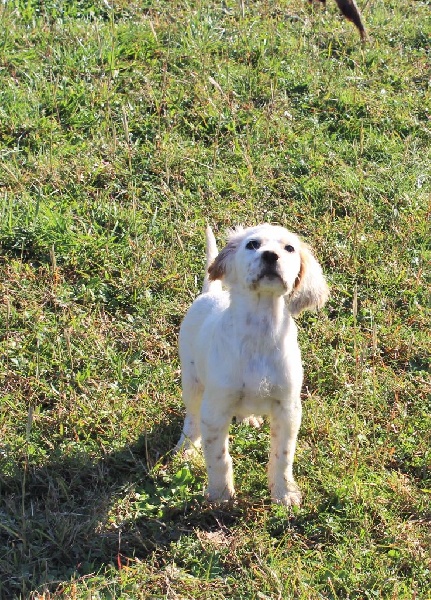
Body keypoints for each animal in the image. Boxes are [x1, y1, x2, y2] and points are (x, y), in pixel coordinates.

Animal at [176, 224, 329, 506]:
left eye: (289, 248)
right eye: (252, 244)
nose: (270, 256)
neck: (260, 330)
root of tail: (211, 294)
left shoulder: (288, 408)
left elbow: (283, 456)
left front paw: (284, 494)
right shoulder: (215, 410)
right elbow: (218, 458)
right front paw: (221, 495)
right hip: (192, 382)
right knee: (191, 419)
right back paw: (186, 448)